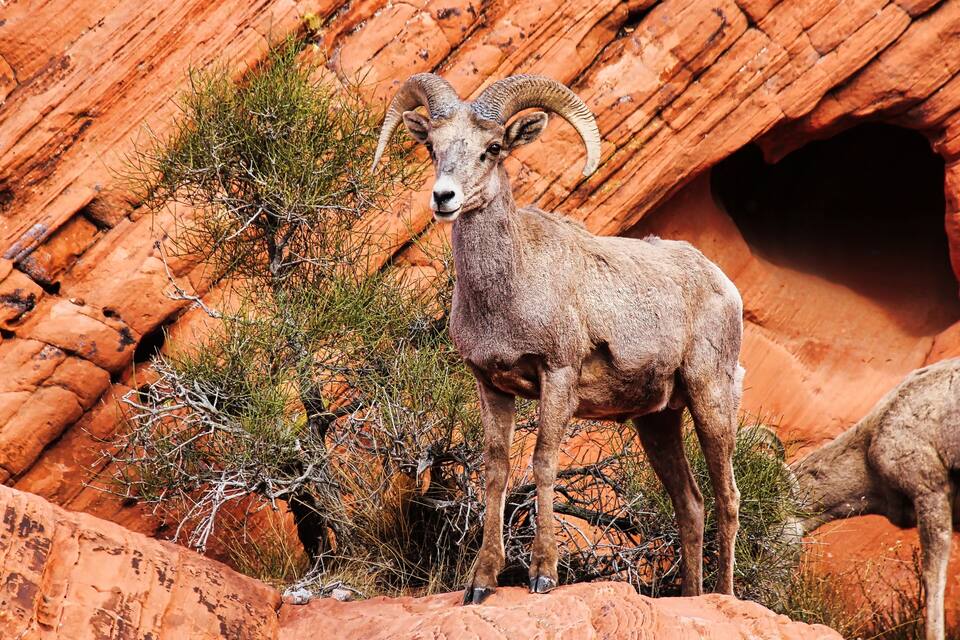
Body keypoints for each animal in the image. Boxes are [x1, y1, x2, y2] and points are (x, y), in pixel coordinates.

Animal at [373, 73, 745, 604]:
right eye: (433, 147)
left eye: (492, 149)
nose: (444, 198)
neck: (511, 289)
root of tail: (723, 284)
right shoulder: (492, 387)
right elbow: (496, 471)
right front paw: (481, 583)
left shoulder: (559, 377)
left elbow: (543, 464)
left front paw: (542, 575)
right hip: (657, 421)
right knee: (690, 505)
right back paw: (691, 598)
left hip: (710, 397)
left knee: (727, 498)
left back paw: (723, 597)